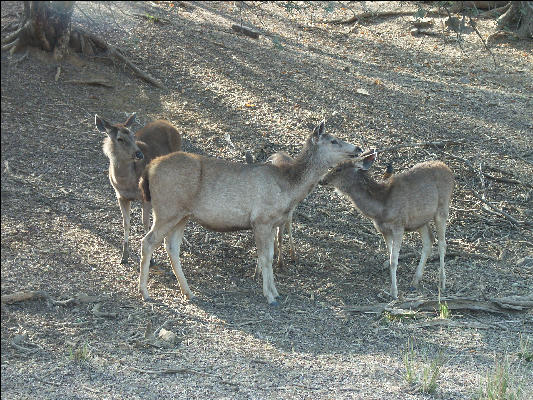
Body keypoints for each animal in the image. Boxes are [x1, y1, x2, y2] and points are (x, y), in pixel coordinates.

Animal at [94, 112, 180, 264]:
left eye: (133, 136)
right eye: (120, 139)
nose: (139, 154)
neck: (128, 183)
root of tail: (169, 124)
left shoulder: (145, 197)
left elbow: (145, 223)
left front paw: (151, 259)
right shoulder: (120, 196)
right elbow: (126, 223)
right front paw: (124, 256)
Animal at [137, 120, 362, 304]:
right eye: (333, 141)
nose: (358, 148)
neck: (288, 188)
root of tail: (149, 168)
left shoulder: (272, 223)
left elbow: (269, 255)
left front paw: (275, 292)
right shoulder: (261, 219)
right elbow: (265, 258)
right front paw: (269, 296)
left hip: (182, 215)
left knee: (171, 247)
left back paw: (188, 292)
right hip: (167, 208)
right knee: (148, 241)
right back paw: (145, 292)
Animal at [320, 155, 454, 298]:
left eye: (338, 169)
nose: (322, 180)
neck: (380, 209)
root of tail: (449, 170)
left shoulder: (399, 225)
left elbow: (394, 260)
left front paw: (394, 293)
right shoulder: (384, 230)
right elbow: (390, 256)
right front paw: (391, 289)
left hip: (442, 207)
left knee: (442, 244)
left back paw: (442, 283)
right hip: (421, 220)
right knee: (429, 241)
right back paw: (415, 281)